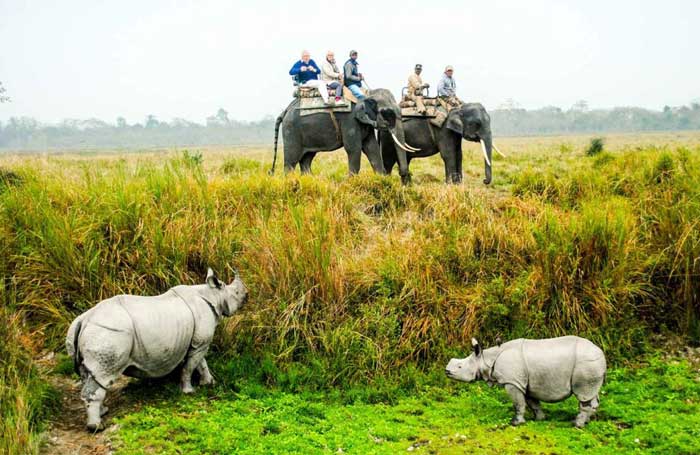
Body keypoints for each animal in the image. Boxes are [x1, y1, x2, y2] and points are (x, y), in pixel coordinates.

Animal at [270, 88, 416, 181]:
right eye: (387, 113)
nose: (405, 174)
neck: (366, 94)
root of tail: (285, 110)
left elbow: (372, 148)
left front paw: (381, 180)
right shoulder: (350, 120)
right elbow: (353, 148)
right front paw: (352, 182)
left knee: (307, 159)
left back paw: (310, 180)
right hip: (291, 130)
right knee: (291, 161)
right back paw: (290, 182)